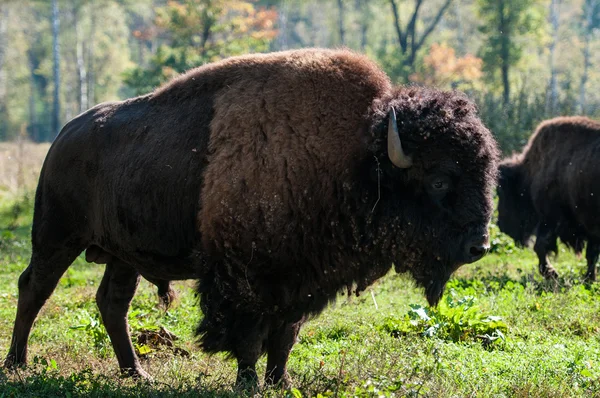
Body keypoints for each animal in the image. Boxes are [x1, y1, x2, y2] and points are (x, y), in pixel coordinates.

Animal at [4, 48, 500, 388]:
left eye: (487, 171)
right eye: (439, 179)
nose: (479, 246)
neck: (358, 157)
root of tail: (64, 135)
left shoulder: (301, 281)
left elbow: (284, 336)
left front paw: (281, 382)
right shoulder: (245, 279)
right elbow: (248, 336)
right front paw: (248, 383)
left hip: (122, 254)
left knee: (112, 303)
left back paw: (137, 373)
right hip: (56, 236)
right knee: (33, 288)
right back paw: (17, 363)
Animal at [496, 116, 600, 282]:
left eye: (501, 191)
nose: (501, 225)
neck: (531, 171)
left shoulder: (551, 218)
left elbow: (540, 245)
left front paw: (551, 273)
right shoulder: (590, 228)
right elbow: (592, 254)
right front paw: (589, 278)